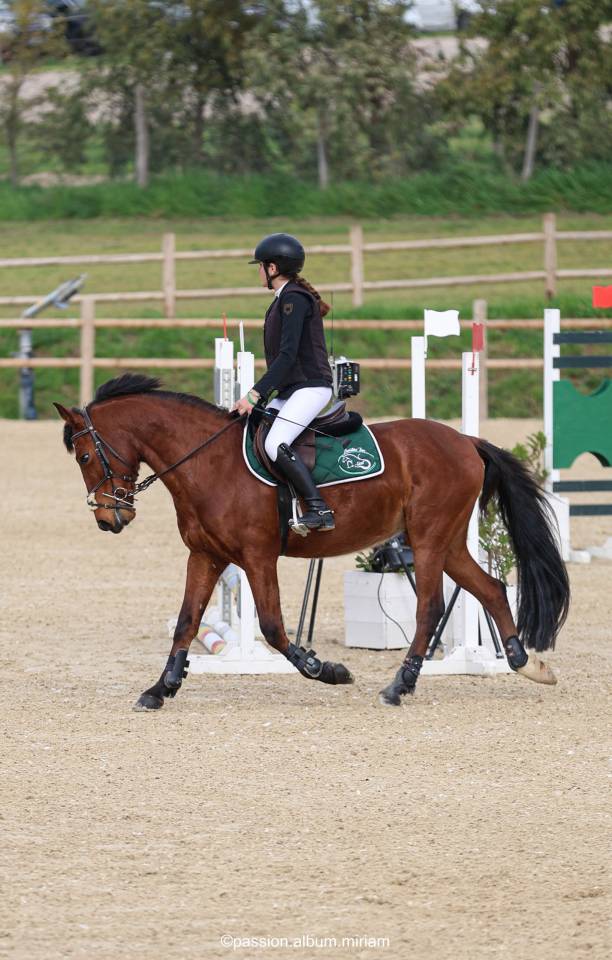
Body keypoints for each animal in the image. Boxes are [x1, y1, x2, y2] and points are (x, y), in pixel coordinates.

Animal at [55, 374, 570, 710]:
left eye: (84, 456)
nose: (109, 518)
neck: (207, 462)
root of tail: (465, 441)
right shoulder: (206, 555)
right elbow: (186, 621)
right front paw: (160, 689)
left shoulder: (257, 557)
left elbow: (272, 627)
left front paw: (327, 670)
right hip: (447, 543)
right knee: (491, 588)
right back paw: (525, 662)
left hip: (427, 540)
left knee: (430, 607)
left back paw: (400, 685)